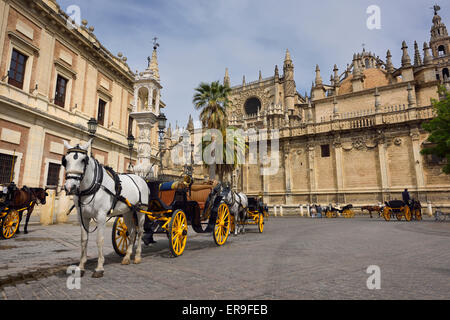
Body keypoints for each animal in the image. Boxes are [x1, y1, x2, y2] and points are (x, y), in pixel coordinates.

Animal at [62, 140, 149, 278]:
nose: (70, 187)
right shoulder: (82, 217)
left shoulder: (101, 216)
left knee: (140, 231)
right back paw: (127, 257)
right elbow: (84, 240)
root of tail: (141, 179)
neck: (93, 185)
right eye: (65, 160)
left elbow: (100, 240)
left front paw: (99, 268)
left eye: (83, 160)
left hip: (141, 211)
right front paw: (81, 266)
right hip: (128, 212)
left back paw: (137, 257)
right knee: (132, 232)